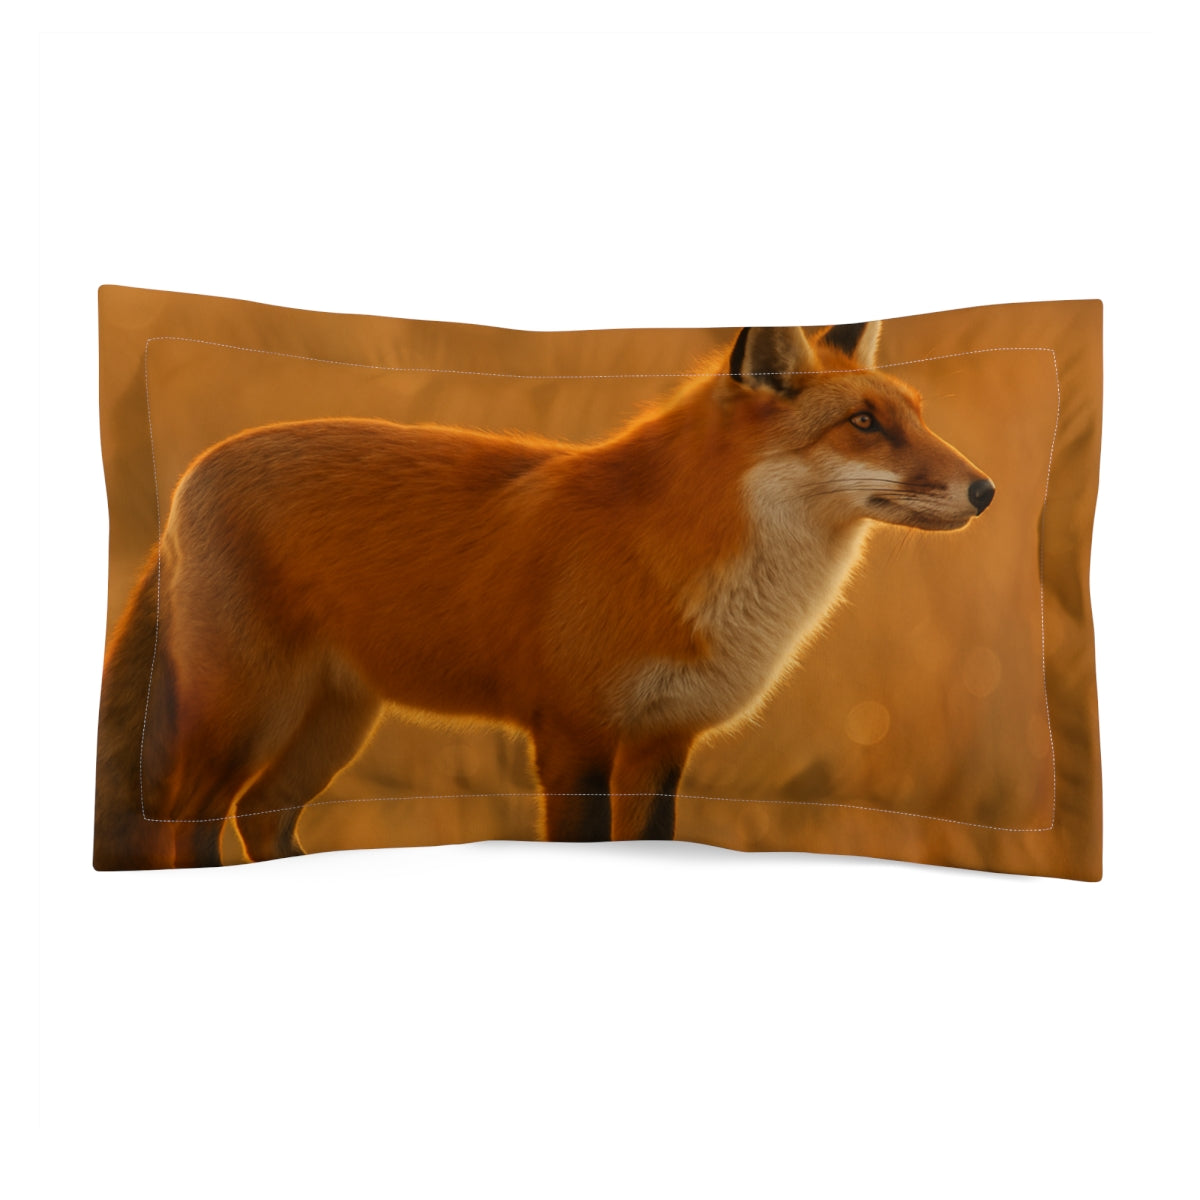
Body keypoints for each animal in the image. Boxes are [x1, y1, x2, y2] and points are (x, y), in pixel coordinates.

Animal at [94, 321, 995, 869]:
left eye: (917, 414)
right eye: (863, 424)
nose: (986, 490)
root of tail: (190, 474)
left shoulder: (665, 743)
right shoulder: (573, 735)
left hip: (331, 725)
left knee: (260, 815)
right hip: (242, 717)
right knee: (184, 821)